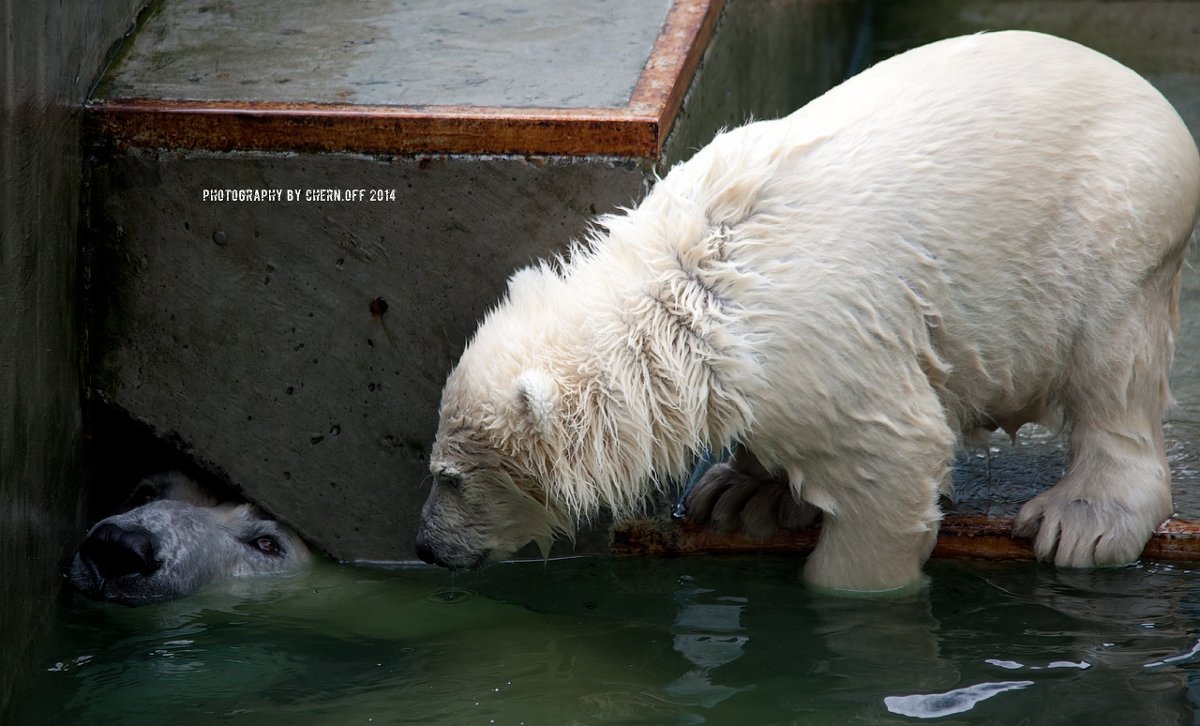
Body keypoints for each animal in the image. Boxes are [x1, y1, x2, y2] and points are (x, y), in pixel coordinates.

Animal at [415, 31, 1200, 592]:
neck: (692, 285)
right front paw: (741, 493)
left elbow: (894, 465)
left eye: (450, 477)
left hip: (1113, 222)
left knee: (1112, 370)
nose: (426, 546)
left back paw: (1083, 519)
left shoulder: (820, 351)